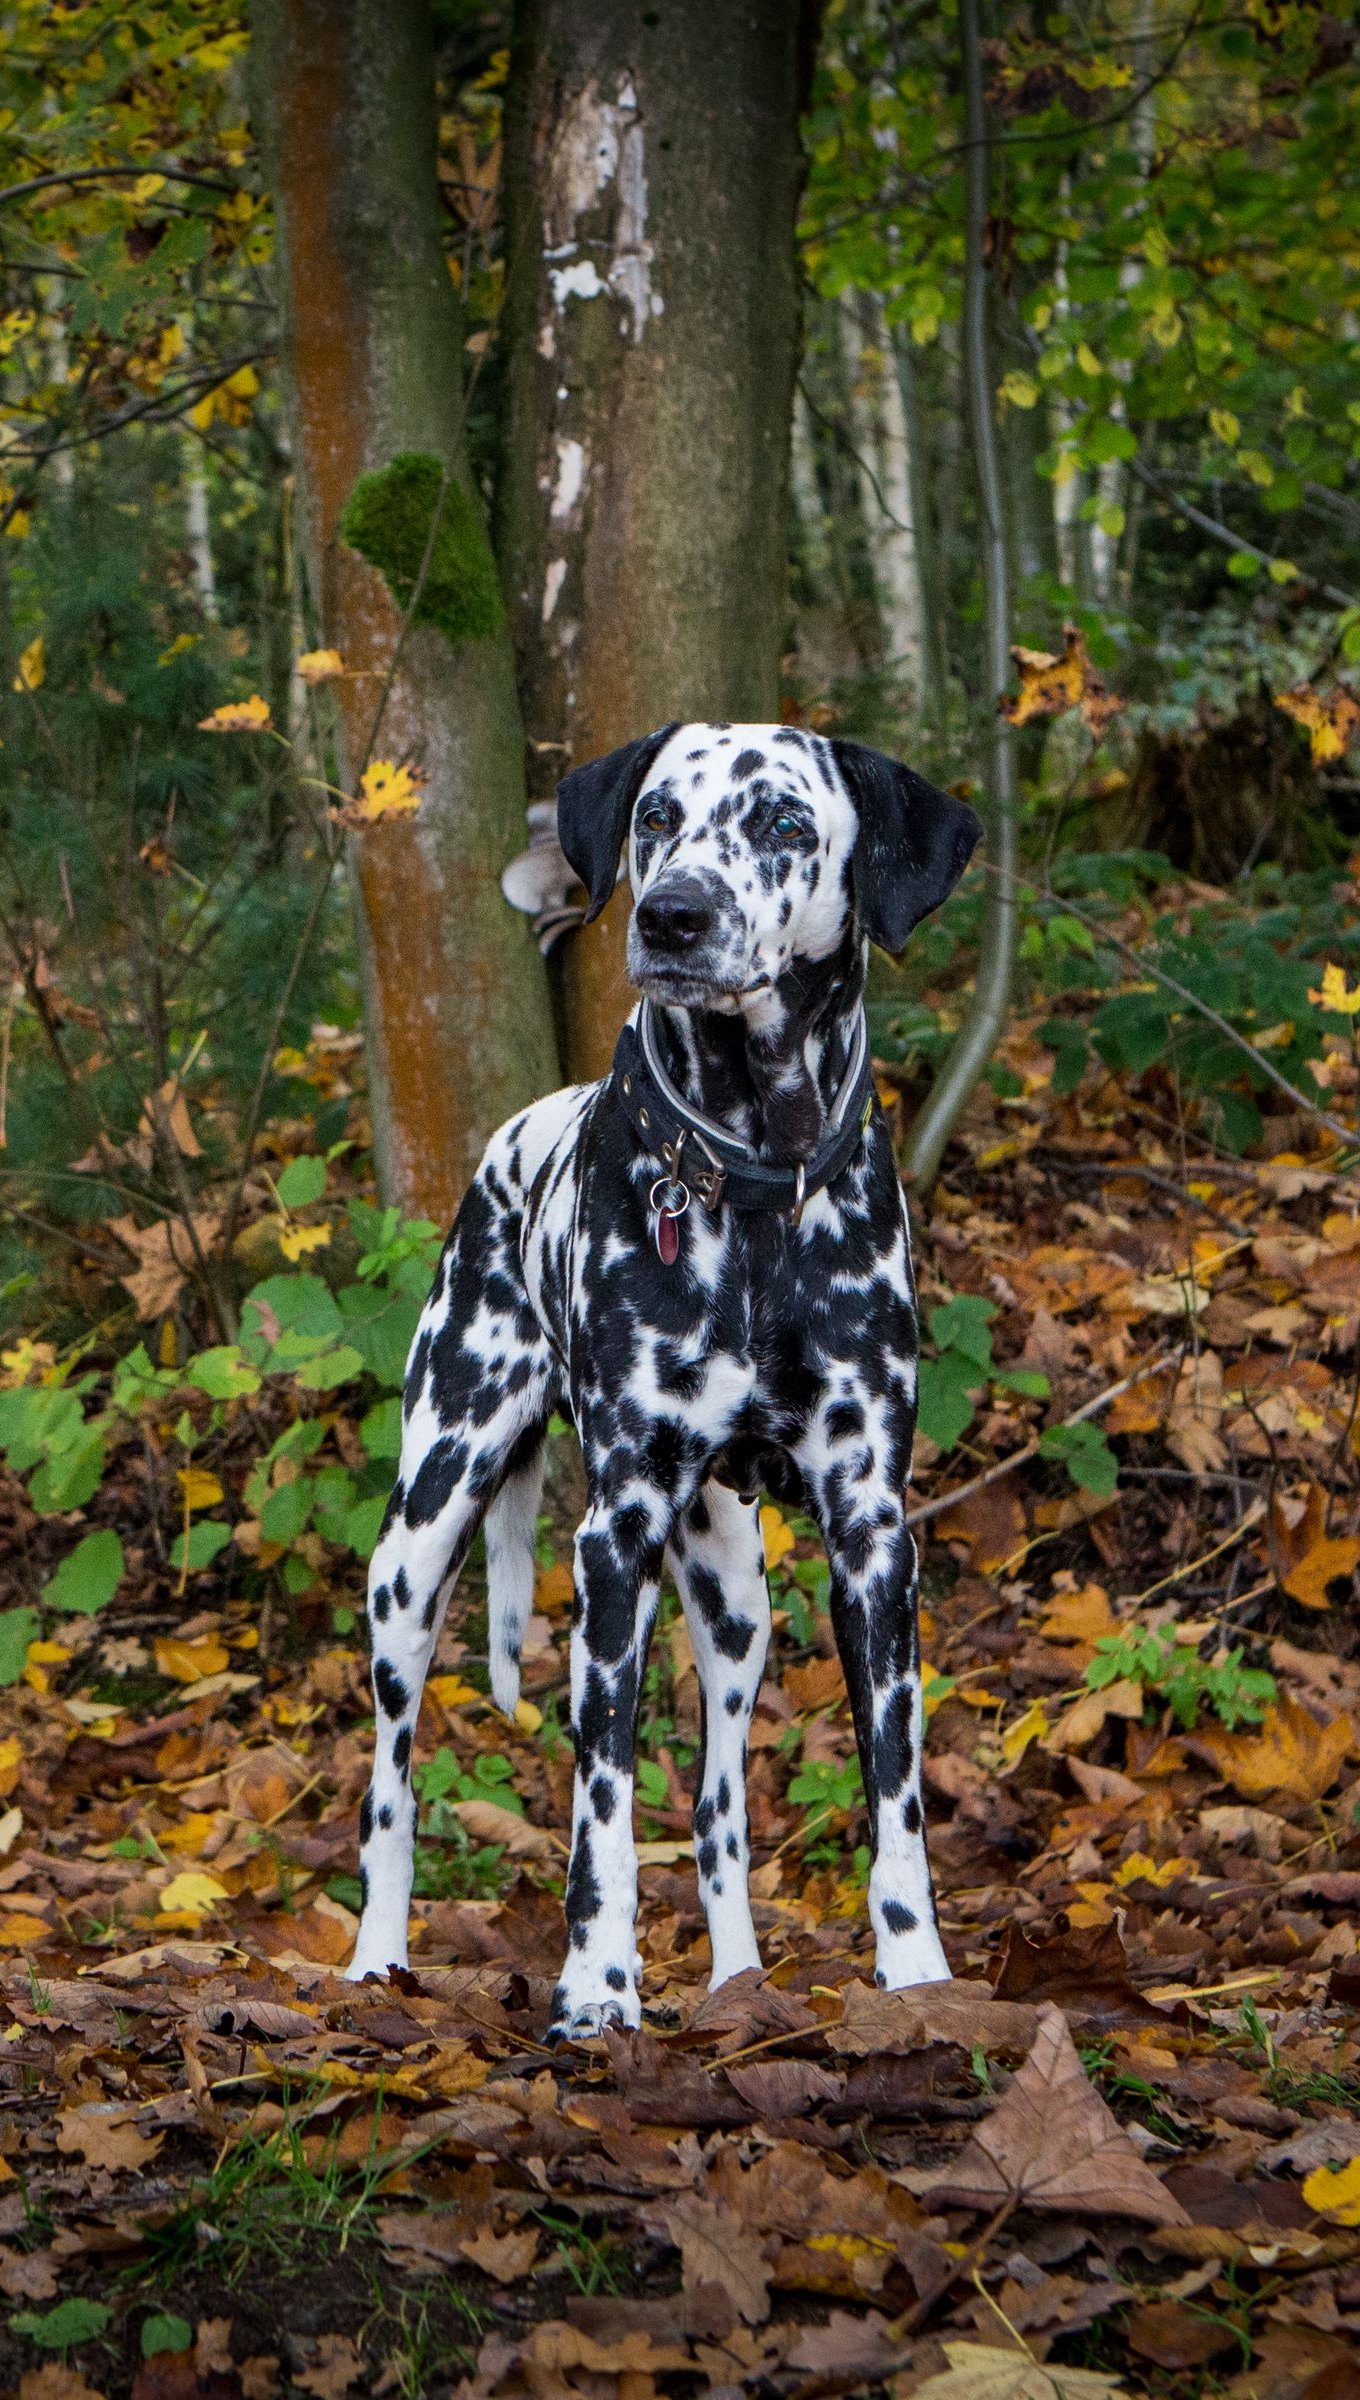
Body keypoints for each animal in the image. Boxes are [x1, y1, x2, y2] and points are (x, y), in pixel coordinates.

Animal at [340, 720, 978, 2035]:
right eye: (654, 818)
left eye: (785, 822)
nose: (674, 915)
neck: (751, 1189)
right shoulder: (613, 1536)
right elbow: (601, 1812)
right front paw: (595, 1990)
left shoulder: (872, 1541)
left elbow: (891, 1803)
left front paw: (917, 1981)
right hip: (420, 1545)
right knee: (392, 1792)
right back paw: (377, 1964)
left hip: (734, 1604)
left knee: (719, 1810)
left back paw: (739, 1983)